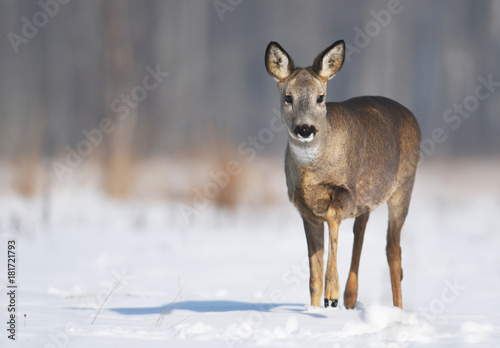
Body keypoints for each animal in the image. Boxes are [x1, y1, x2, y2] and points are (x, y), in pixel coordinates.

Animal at [266, 39, 422, 308]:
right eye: (288, 97)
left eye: (320, 97)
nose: (305, 128)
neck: (312, 173)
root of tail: (412, 116)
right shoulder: (305, 210)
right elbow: (313, 277)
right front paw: (318, 303)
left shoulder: (346, 191)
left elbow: (333, 215)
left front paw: (332, 295)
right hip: (369, 199)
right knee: (361, 231)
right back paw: (351, 296)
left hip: (403, 186)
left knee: (393, 249)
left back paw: (396, 308)